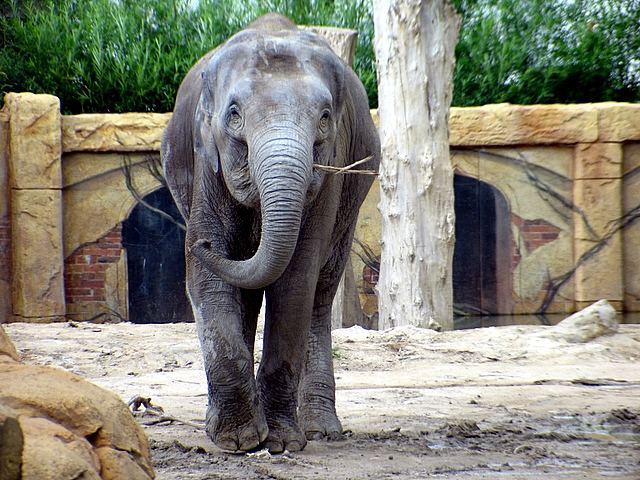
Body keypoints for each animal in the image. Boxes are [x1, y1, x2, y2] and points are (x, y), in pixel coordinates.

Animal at [160, 12, 380, 454]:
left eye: (325, 117)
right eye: (234, 114)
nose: (201, 243)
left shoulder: (330, 172)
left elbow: (296, 279)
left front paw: (280, 442)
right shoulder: (205, 155)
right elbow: (207, 277)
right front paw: (239, 440)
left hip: (352, 198)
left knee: (320, 292)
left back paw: (321, 431)